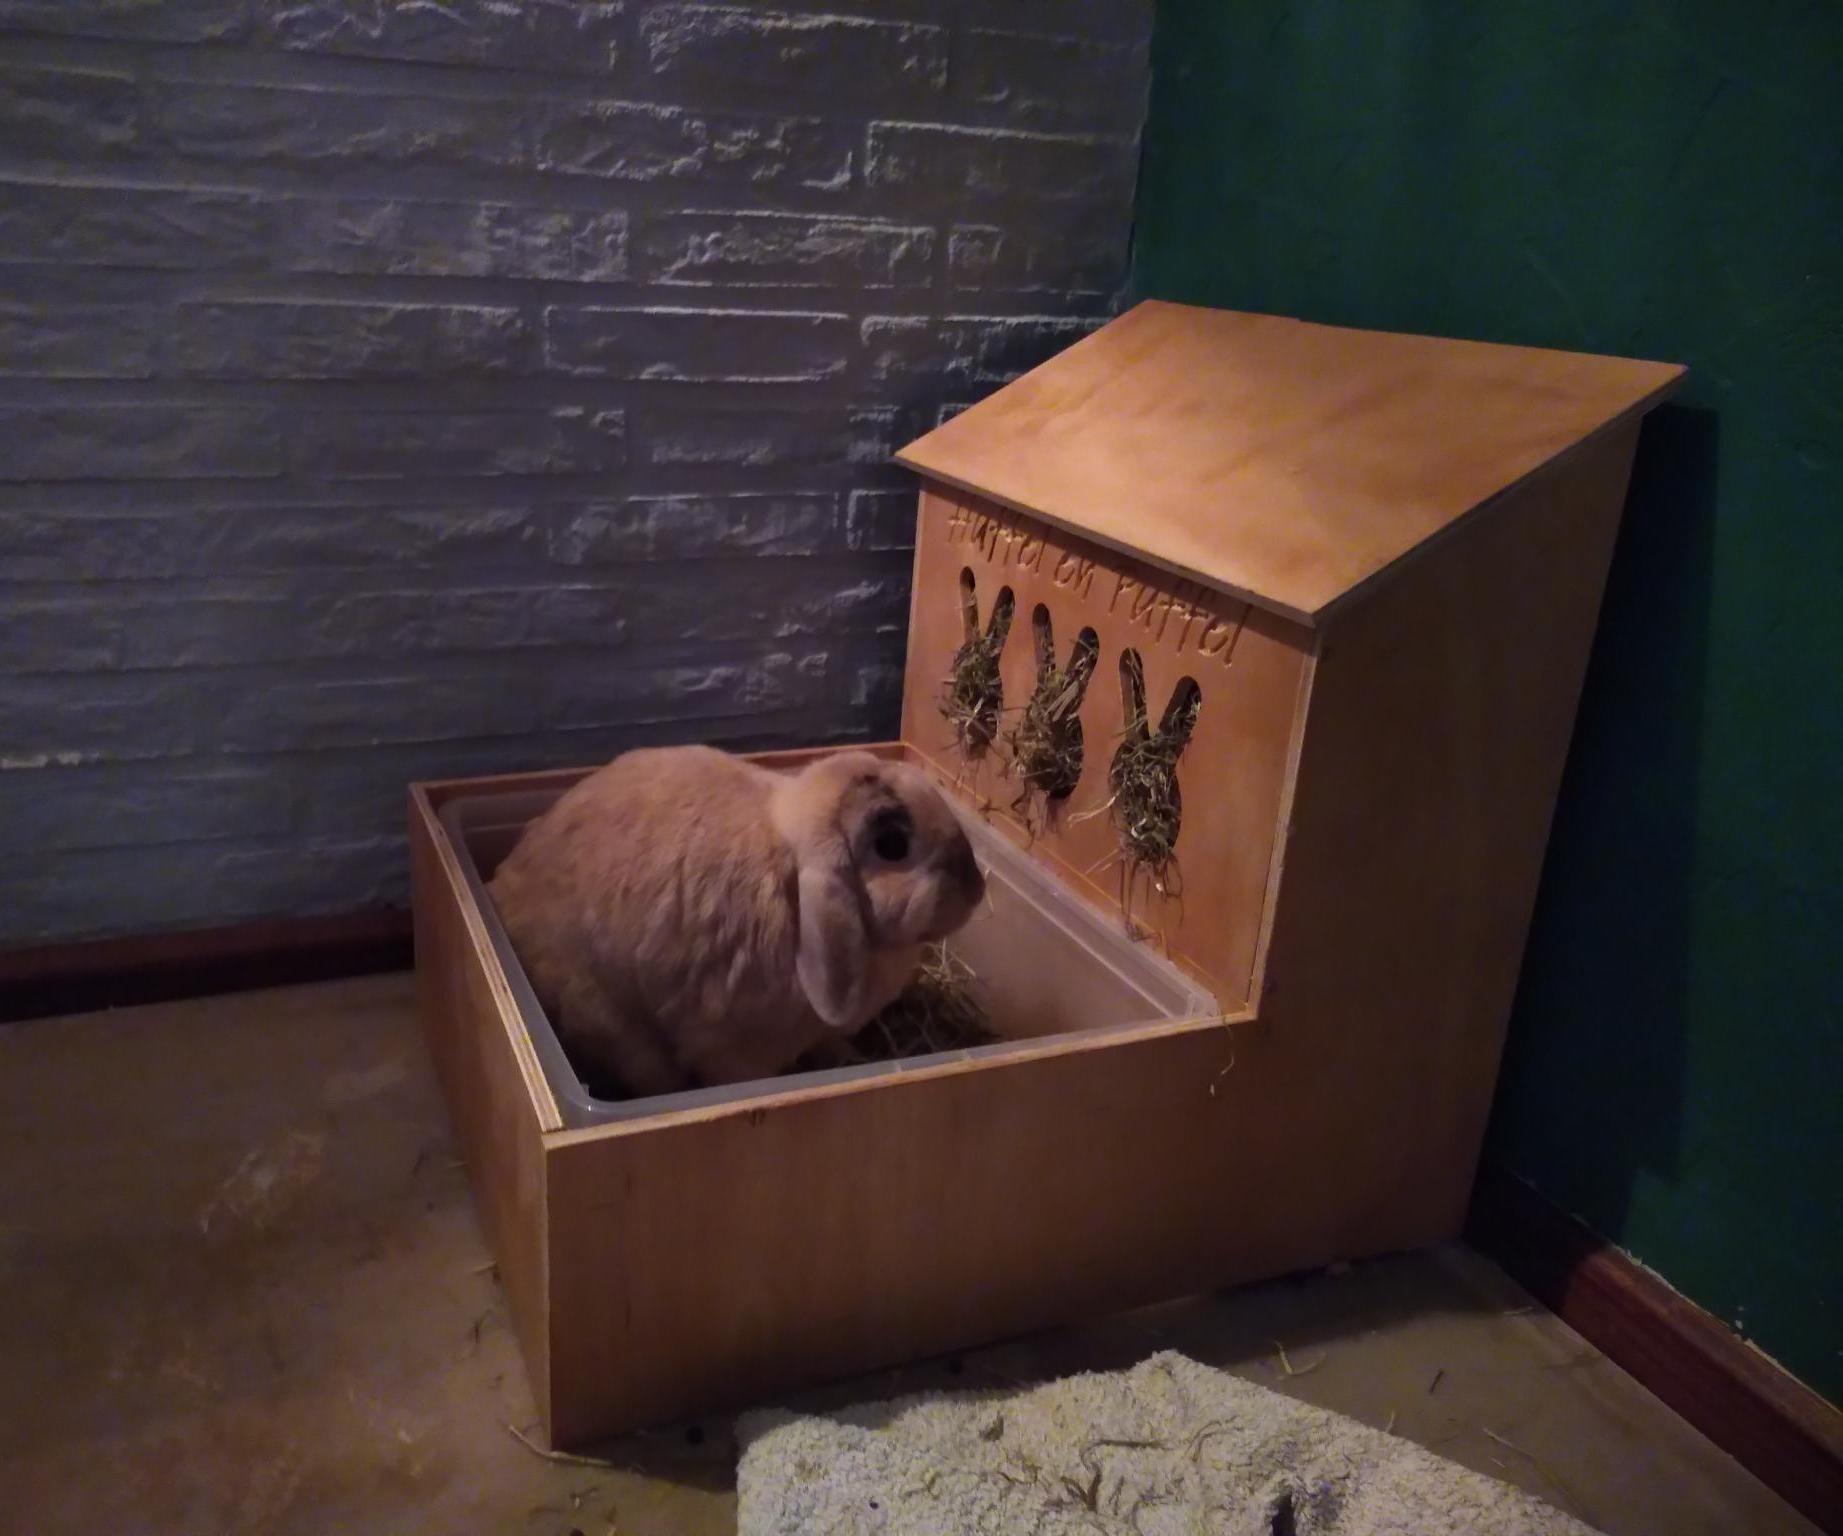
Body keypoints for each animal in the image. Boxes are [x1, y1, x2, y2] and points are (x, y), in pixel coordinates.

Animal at [486, 746, 987, 1097]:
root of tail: (501, 890)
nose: (978, 887)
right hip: (616, 1033)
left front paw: (851, 1057)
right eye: (892, 844)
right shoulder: (733, 1051)